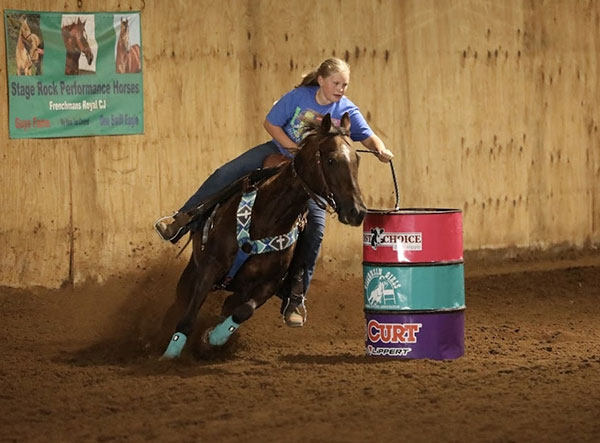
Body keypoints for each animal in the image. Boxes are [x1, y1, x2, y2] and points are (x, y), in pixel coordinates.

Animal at [159, 112, 366, 360]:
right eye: (332, 160)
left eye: (357, 159)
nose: (357, 212)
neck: (268, 217)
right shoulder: (209, 268)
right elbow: (188, 317)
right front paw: (171, 353)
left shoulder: (268, 284)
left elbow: (243, 311)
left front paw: (213, 336)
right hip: (193, 270)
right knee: (181, 301)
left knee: (229, 304)